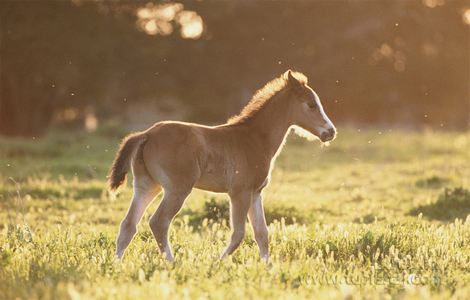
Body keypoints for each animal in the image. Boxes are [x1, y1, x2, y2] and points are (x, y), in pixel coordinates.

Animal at [108, 69, 336, 260]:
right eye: (311, 104)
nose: (330, 132)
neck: (253, 140)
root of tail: (147, 134)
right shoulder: (239, 192)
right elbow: (239, 234)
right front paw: (218, 262)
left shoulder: (255, 193)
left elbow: (262, 234)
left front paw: (268, 268)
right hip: (177, 189)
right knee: (159, 222)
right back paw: (171, 262)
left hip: (147, 185)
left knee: (128, 224)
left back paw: (117, 263)